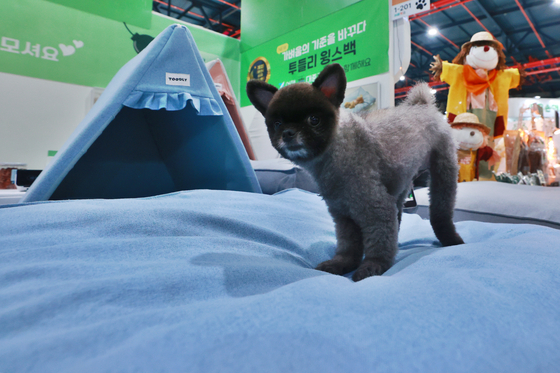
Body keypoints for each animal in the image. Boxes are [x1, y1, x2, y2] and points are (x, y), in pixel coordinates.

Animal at [246, 63, 464, 280]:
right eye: (277, 124)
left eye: (314, 120)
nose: (288, 133)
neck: (336, 151)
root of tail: (422, 104)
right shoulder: (344, 216)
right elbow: (349, 246)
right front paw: (341, 263)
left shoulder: (377, 209)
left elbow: (378, 243)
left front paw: (373, 266)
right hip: (401, 185)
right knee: (399, 213)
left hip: (443, 171)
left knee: (440, 213)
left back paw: (451, 239)